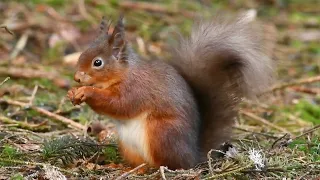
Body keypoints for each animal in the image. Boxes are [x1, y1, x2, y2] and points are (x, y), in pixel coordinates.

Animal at [67, 14, 272, 169]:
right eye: (82, 53)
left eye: (98, 62)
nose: (77, 77)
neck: (124, 73)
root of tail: (192, 157)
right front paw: (72, 92)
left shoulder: (136, 89)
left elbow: (120, 105)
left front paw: (86, 91)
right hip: (128, 145)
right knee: (140, 164)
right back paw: (122, 167)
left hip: (161, 133)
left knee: (167, 165)